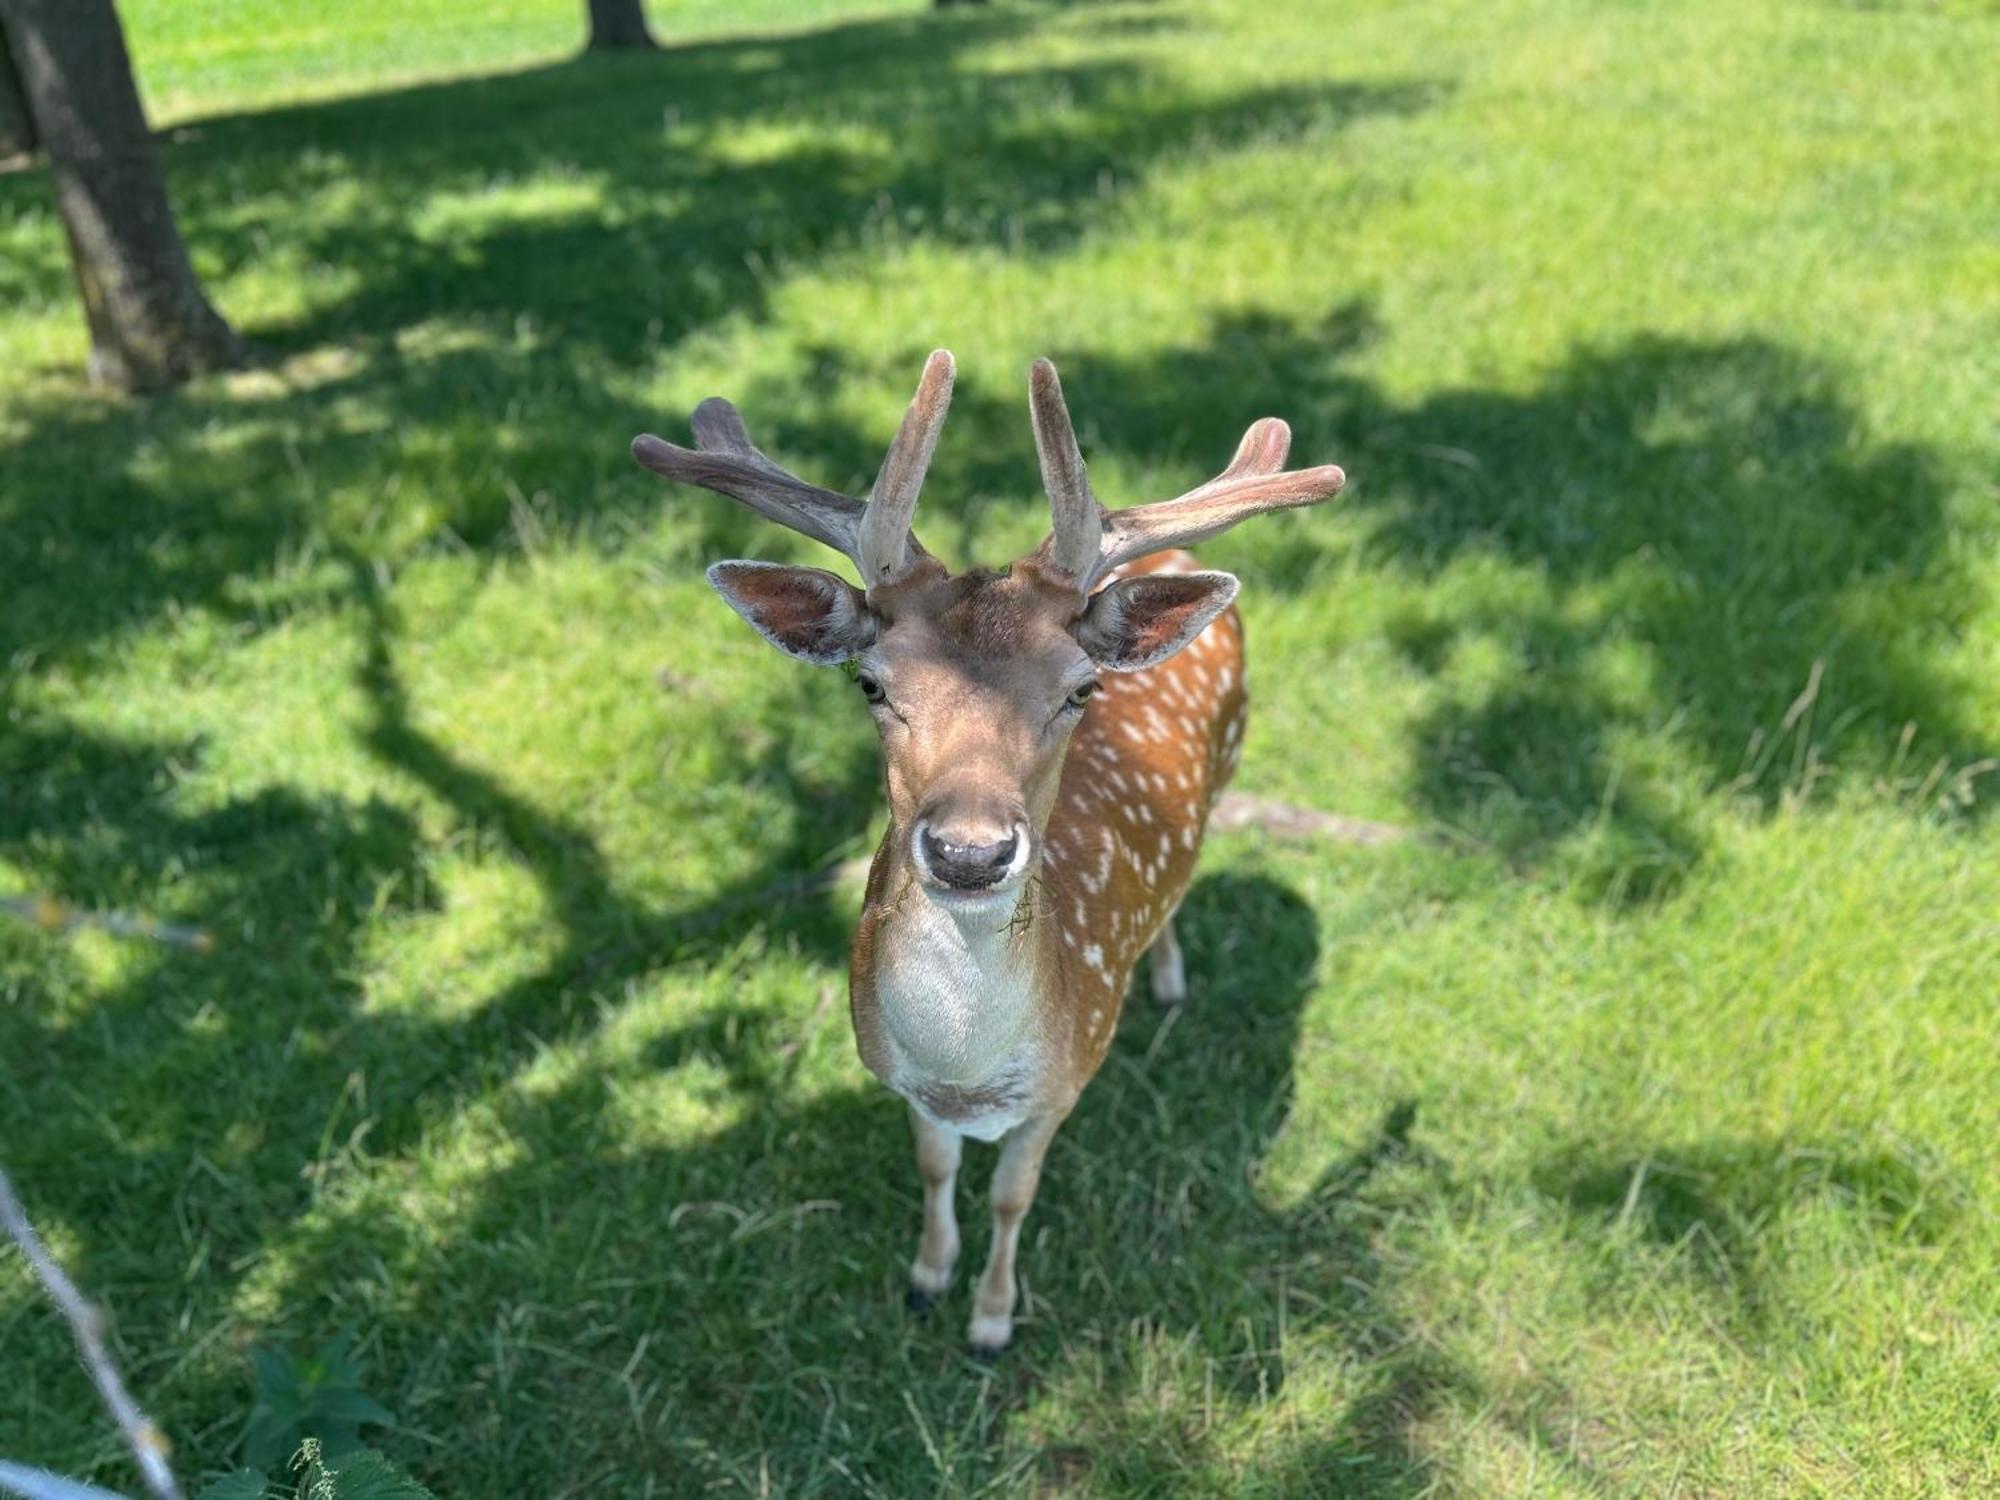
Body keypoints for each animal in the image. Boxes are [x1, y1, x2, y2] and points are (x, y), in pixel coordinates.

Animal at [624, 356, 1344, 1360]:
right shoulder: (901, 1082)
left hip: (1238, 750)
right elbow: (933, 1170)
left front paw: (993, 1319)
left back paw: (1165, 980)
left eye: (1080, 690)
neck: (968, 1071)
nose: (971, 852)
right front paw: (928, 1278)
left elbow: (1011, 1194)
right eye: (870, 682)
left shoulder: (1064, 1081)